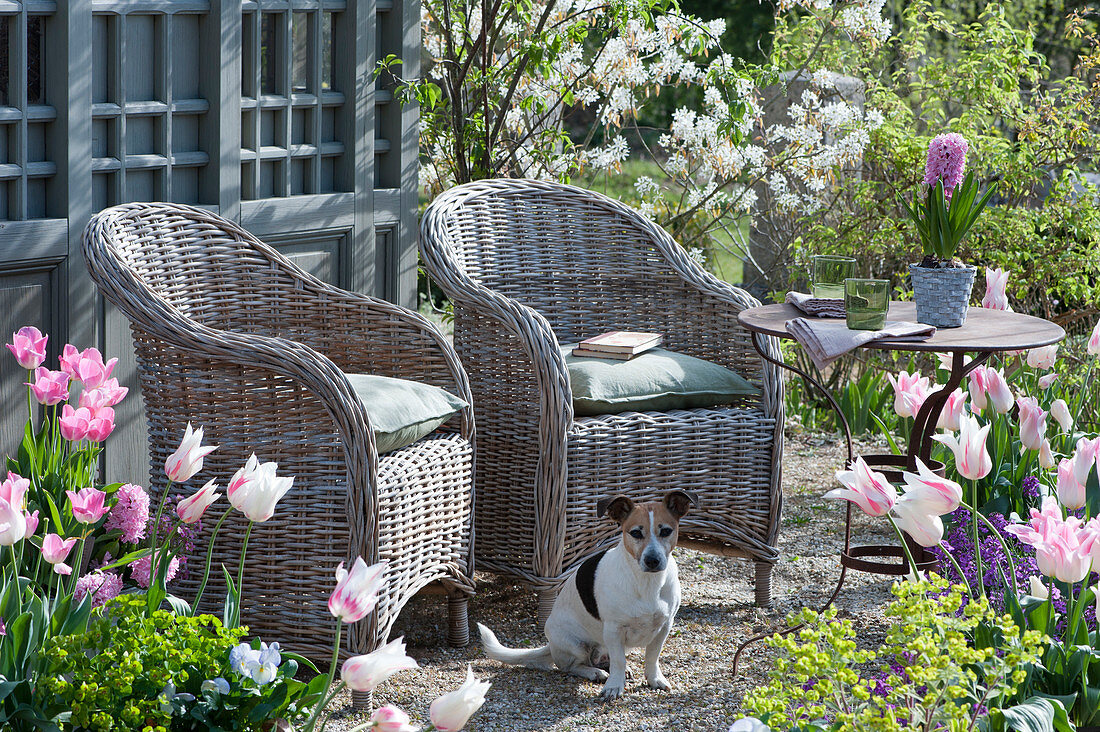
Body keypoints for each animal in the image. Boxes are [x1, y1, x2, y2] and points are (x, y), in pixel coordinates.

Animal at [475, 488, 695, 700]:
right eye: (635, 533)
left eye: (666, 531)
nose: (652, 560)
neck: (646, 583)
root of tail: (551, 645)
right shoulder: (614, 630)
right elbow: (618, 661)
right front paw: (614, 686)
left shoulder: (665, 626)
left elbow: (651, 657)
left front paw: (654, 679)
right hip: (576, 645)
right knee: (570, 667)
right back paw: (594, 672)